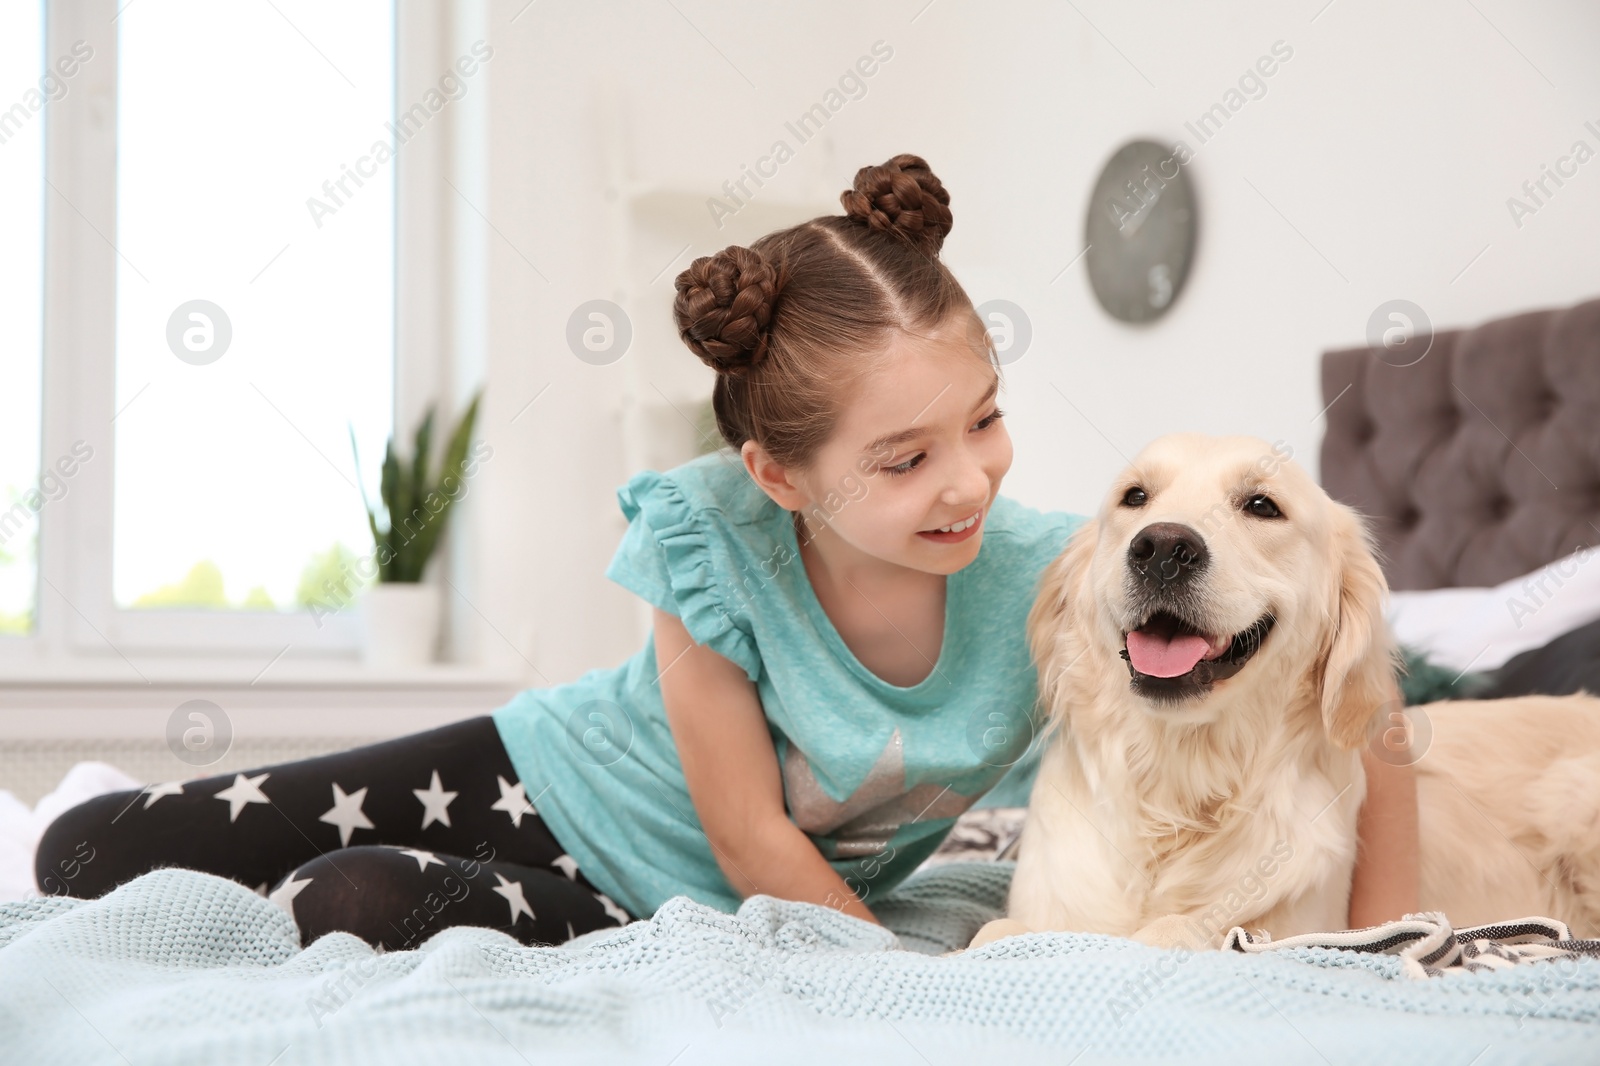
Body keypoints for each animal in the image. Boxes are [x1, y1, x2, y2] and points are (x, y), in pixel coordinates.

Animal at [966, 435, 1600, 947]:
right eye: (1135, 497)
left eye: (1261, 506)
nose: (1162, 548)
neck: (1180, 785)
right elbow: (997, 932)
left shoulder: (1304, 925)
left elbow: (1180, 930)